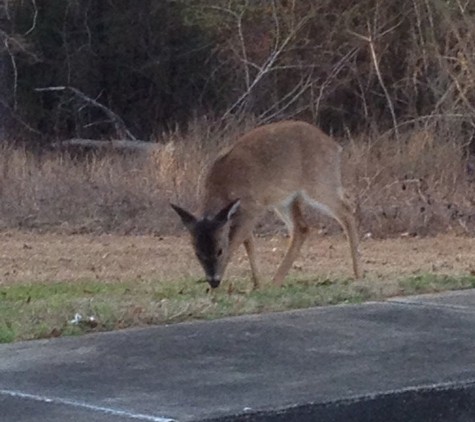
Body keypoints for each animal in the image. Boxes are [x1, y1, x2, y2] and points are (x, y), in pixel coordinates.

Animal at [173, 120, 362, 288]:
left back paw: (357, 274)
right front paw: (257, 284)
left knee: (346, 210)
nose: (213, 281)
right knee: (301, 227)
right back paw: (275, 281)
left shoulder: (252, 207)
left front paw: (217, 291)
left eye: (219, 250)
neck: (222, 187)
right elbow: (248, 243)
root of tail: (336, 147)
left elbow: (235, 243)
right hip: (285, 198)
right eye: (197, 253)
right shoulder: (241, 213)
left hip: (320, 182)